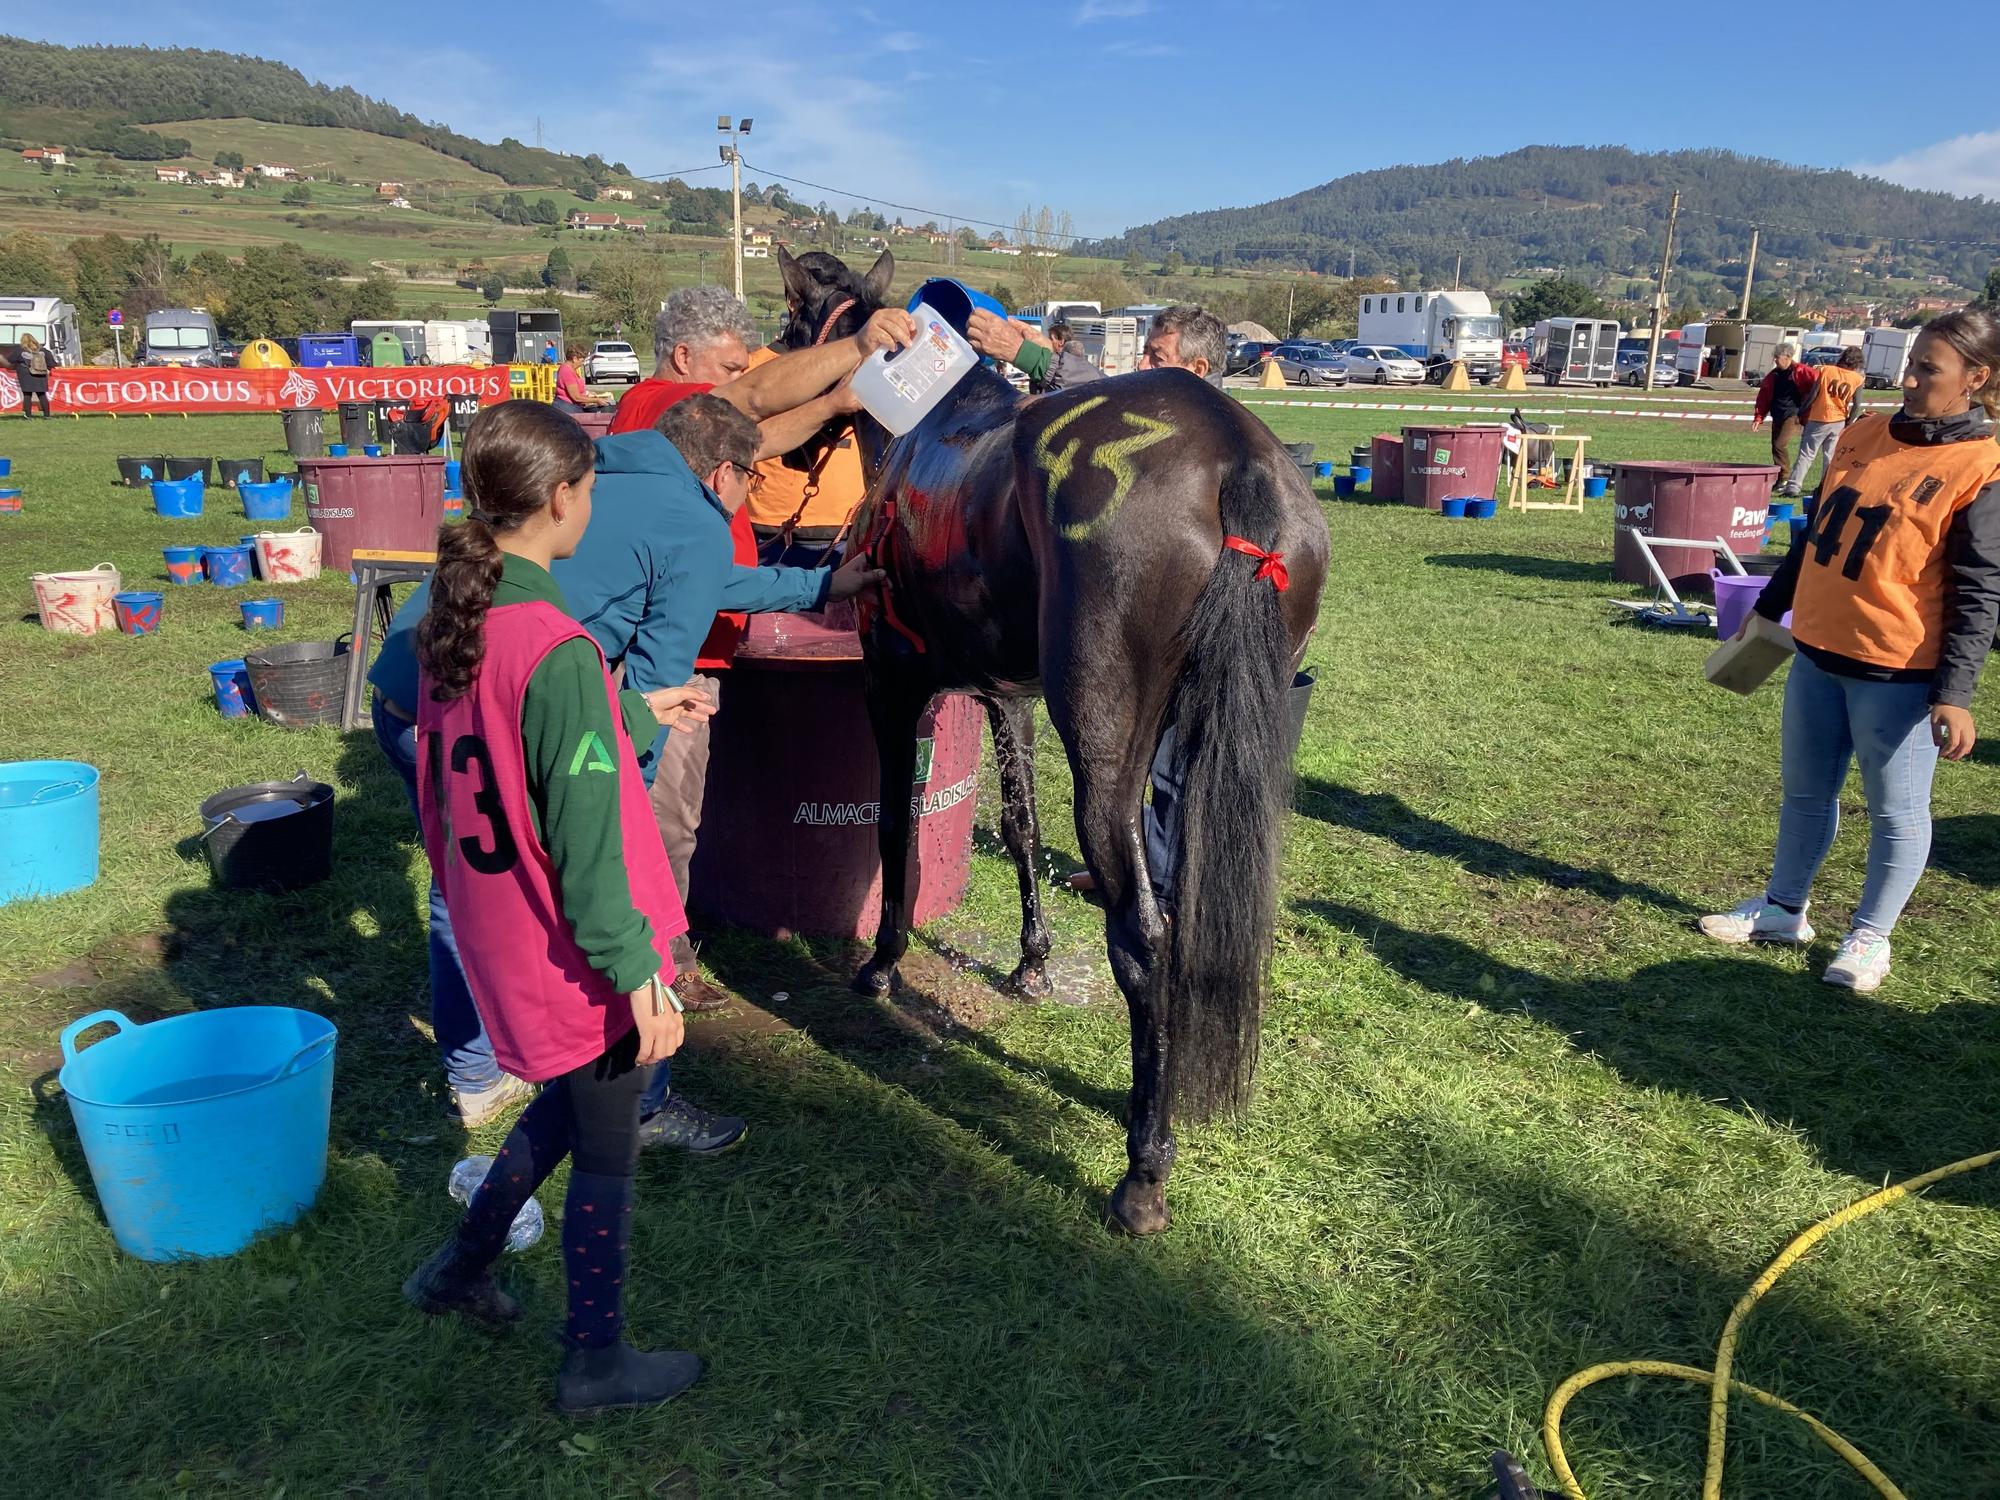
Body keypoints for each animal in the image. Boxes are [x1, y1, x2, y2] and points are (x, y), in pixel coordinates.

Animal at [776, 250, 1328, 1232]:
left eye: (789, 325)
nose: (786, 446)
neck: (929, 423)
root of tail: (1237, 456)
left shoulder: (892, 689)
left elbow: (896, 829)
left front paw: (882, 963)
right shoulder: (1010, 700)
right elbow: (1021, 826)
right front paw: (1031, 965)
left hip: (1105, 745)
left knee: (1144, 932)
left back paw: (1145, 1168)